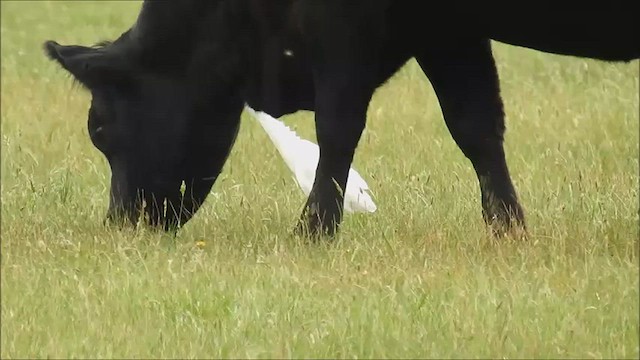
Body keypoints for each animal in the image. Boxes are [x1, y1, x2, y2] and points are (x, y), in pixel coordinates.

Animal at [42, 1, 636, 238]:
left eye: (99, 130)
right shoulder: (447, 28)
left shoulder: (343, 28)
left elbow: (339, 124)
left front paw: (313, 229)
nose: (121, 223)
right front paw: (507, 227)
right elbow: (476, 124)